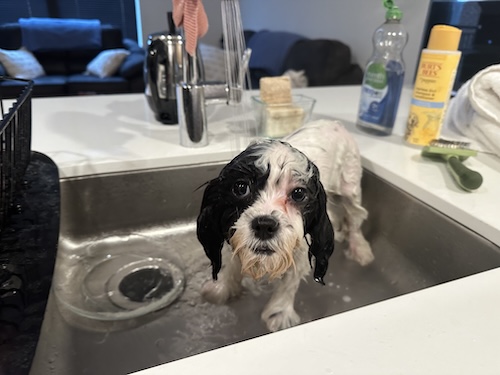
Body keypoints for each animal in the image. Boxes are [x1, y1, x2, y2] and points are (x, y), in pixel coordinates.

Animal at [195, 119, 372, 332]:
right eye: (240, 187)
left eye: (298, 193)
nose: (264, 225)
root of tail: (333, 122)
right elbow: (232, 265)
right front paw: (222, 289)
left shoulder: (300, 250)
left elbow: (289, 283)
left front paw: (279, 315)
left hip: (350, 184)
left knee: (355, 219)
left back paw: (360, 249)